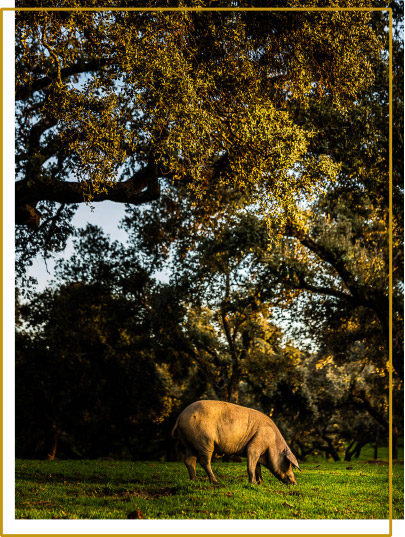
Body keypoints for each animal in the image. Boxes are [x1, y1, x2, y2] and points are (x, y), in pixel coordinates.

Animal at [170, 400, 300, 484]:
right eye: (288, 464)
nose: (295, 482)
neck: (272, 443)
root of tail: (180, 417)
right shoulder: (254, 447)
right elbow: (252, 465)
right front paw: (253, 483)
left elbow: (257, 467)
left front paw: (261, 483)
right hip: (205, 442)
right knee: (203, 462)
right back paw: (215, 482)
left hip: (188, 443)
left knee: (189, 461)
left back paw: (195, 481)